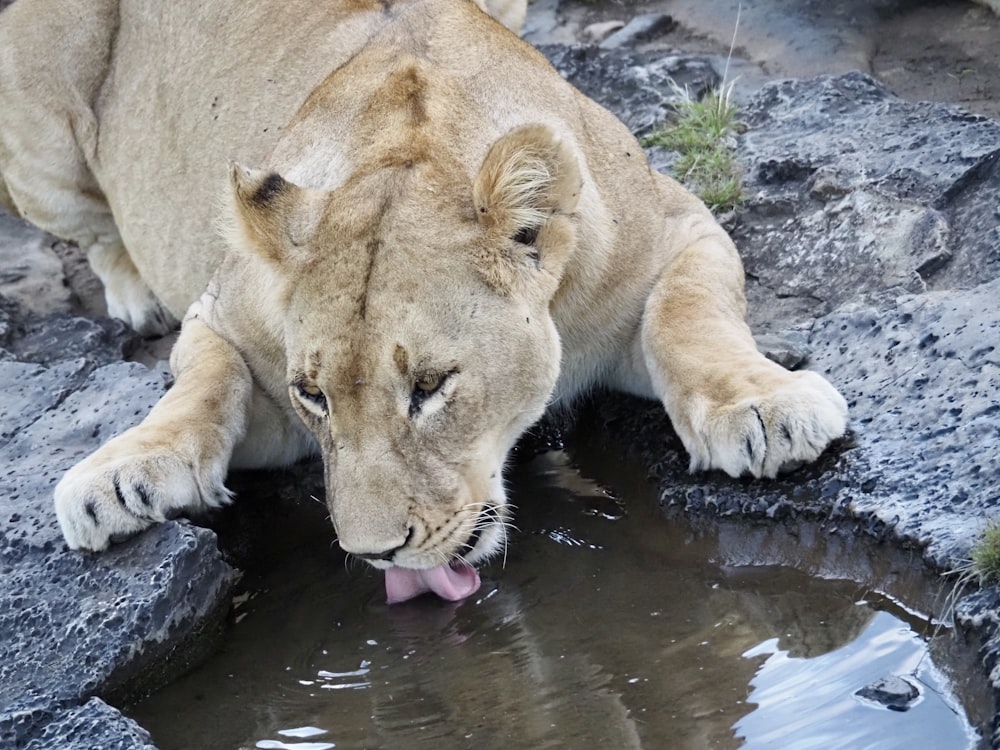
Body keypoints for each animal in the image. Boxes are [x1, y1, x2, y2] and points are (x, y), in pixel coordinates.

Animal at [0, 0, 844, 604]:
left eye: (431, 387)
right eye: (313, 395)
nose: (375, 556)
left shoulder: (682, 228)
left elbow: (689, 316)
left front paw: (764, 409)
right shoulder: (226, 315)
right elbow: (203, 382)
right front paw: (124, 475)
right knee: (97, 232)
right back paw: (134, 300)